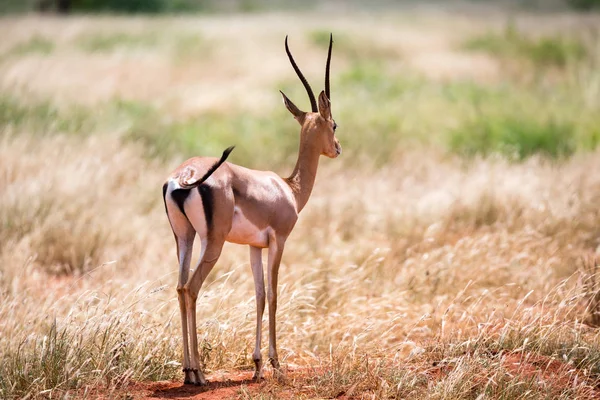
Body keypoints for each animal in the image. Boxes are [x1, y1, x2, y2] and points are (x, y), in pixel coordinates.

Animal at [162, 34, 340, 384]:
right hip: (212, 243)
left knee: (179, 287)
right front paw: (275, 363)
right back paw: (198, 373)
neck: (289, 188)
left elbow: (257, 295)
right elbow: (273, 295)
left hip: (184, 239)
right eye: (335, 125)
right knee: (191, 288)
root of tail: (183, 177)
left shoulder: (254, 247)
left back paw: (188, 371)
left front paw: (257, 365)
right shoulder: (279, 241)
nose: (338, 149)